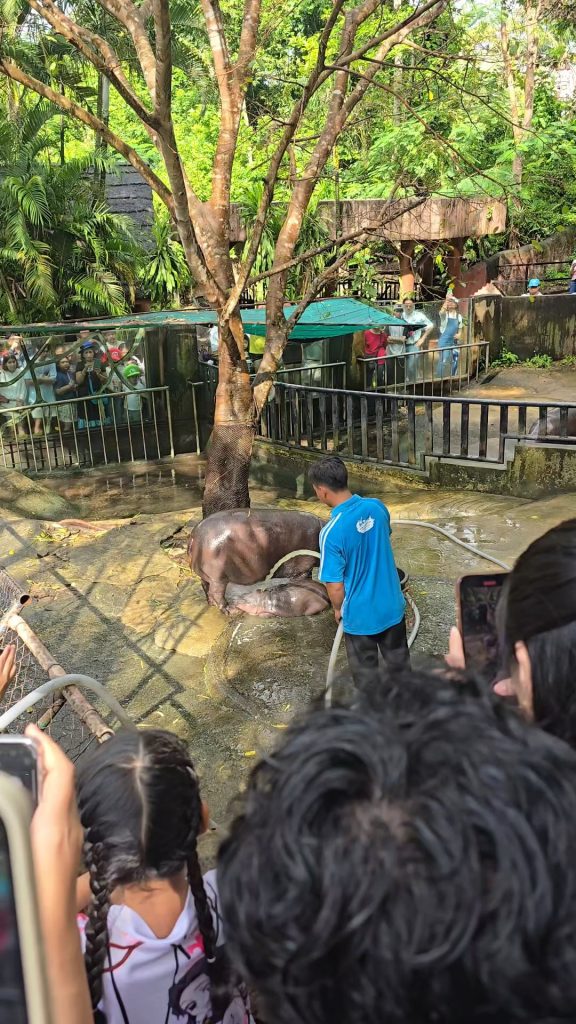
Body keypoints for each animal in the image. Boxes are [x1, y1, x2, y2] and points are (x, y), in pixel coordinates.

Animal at [188, 509, 323, 610]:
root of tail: (194, 534)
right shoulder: (304, 568)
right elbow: (306, 580)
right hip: (218, 578)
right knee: (216, 594)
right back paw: (230, 610)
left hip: (207, 575)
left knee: (205, 587)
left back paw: (211, 604)